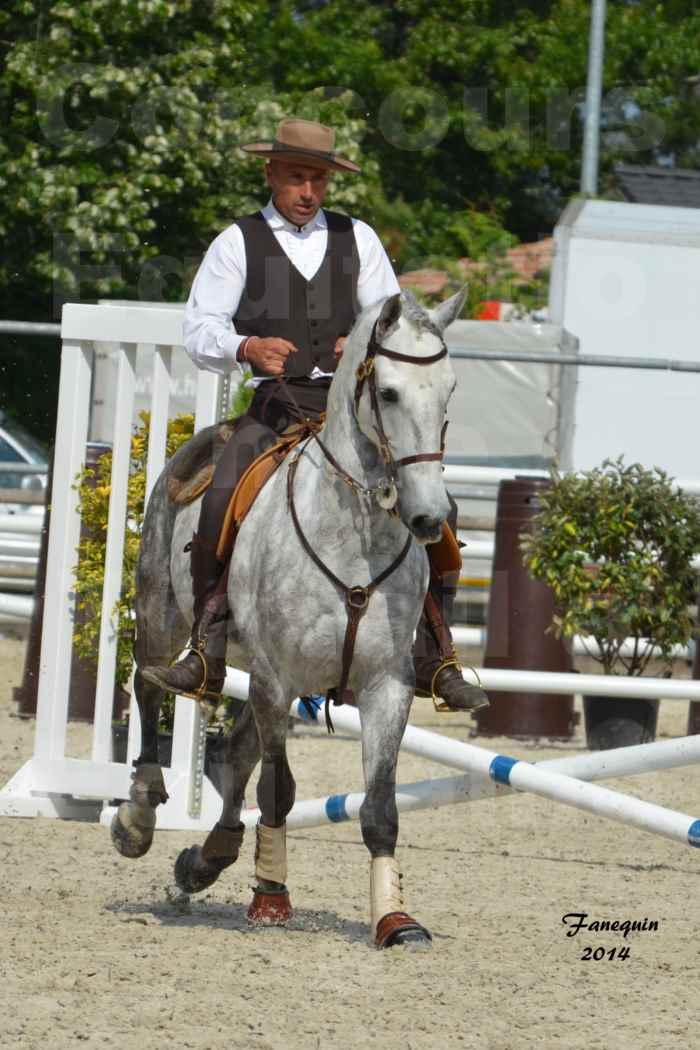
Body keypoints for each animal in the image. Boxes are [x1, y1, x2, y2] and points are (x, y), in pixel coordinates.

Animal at [113, 289, 465, 953]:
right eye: (388, 394)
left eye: (449, 392)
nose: (430, 517)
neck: (355, 537)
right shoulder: (277, 680)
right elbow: (278, 790)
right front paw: (272, 899)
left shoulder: (386, 686)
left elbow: (379, 809)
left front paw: (395, 920)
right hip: (162, 615)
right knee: (149, 686)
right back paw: (139, 816)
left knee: (233, 752)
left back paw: (208, 858)